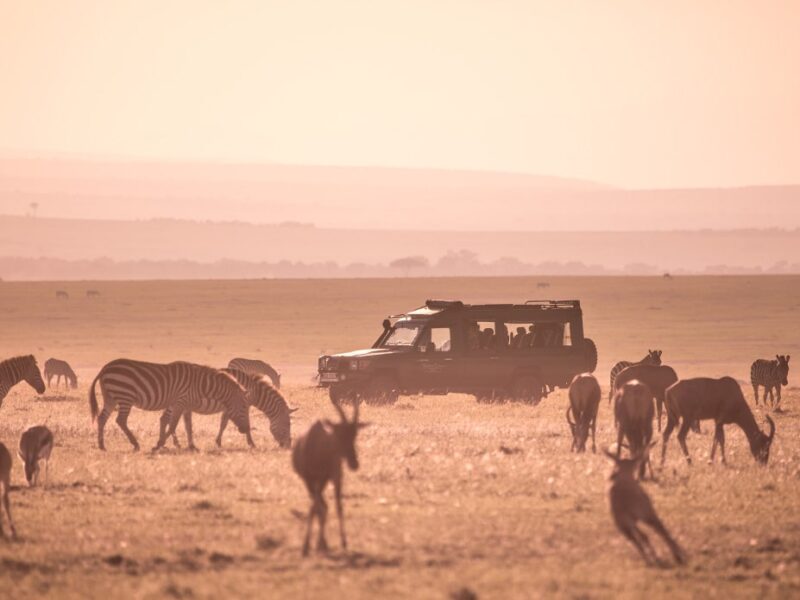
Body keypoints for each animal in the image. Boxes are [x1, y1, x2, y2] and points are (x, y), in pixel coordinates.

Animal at [88, 358, 252, 452]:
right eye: (243, 408)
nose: (246, 429)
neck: (200, 385)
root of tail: (105, 368)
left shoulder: (186, 406)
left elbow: (188, 426)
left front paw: (192, 446)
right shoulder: (180, 402)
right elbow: (173, 425)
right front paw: (159, 444)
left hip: (110, 397)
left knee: (102, 418)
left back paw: (102, 446)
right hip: (124, 396)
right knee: (120, 420)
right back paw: (135, 444)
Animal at [294, 396, 368, 556]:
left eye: (355, 434)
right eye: (339, 434)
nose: (354, 463)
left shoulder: (329, 477)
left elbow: (327, 507)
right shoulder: (309, 480)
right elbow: (316, 508)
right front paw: (306, 546)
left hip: (330, 479)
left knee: (331, 505)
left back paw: (331, 543)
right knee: (321, 506)